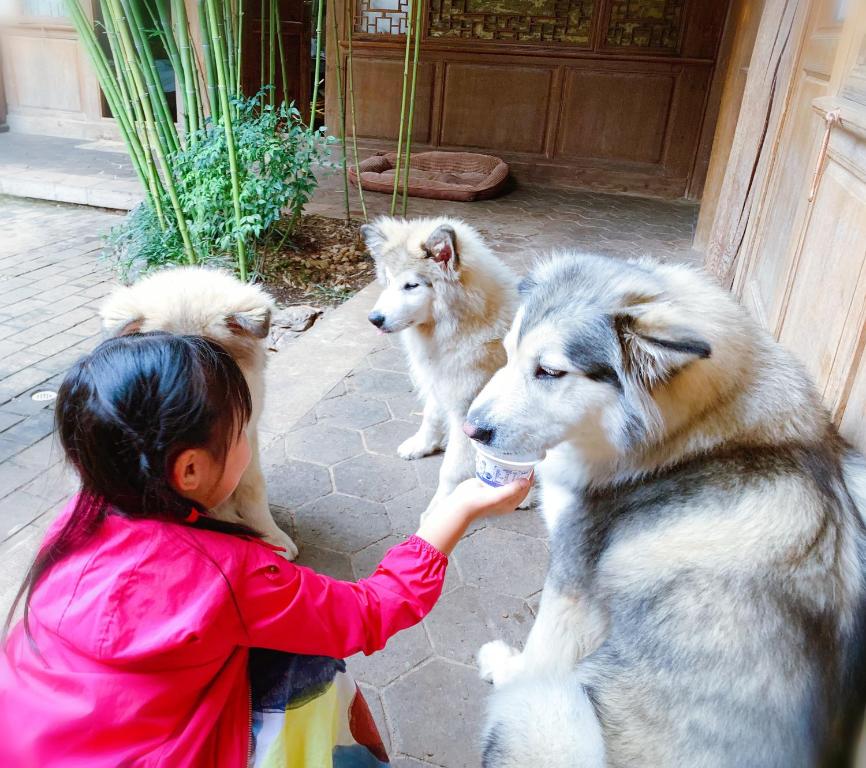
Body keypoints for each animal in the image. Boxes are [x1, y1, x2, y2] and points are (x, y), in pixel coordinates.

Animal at [362, 216, 516, 516]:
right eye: (388, 280)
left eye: (411, 286)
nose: (374, 319)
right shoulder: (438, 381)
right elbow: (431, 417)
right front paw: (422, 445)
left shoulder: (467, 414)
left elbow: (452, 469)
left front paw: (441, 509)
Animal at [466, 254, 864, 768]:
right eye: (509, 352)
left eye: (550, 372)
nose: (471, 429)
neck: (697, 436)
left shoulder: (572, 580)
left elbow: (540, 653)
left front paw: (505, 666)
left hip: (546, 705)